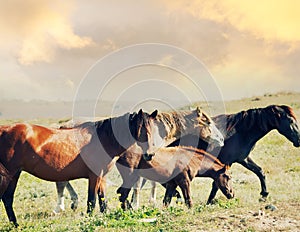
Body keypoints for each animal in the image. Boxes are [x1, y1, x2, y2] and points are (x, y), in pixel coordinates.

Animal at [0, 109, 159, 227]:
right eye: (141, 128)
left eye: (153, 129)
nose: (150, 154)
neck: (103, 139)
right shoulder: (94, 176)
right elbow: (92, 201)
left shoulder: (101, 176)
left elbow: (102, 200)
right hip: (8, 174)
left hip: (15, 174)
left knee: (7, 198)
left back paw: (16, 225)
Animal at [53, 107, 225, 212]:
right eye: (208, 122)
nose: (222, 139)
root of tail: (63, 126)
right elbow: (144, 183)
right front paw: (140, 204)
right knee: (62, 182)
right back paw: (63, 206)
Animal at [132, 104, 300, 205]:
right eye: (291, 121)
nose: (298, 140)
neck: (239, 132)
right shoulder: (225, 161)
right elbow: (217, 182)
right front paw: (210, 201)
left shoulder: (243, 159)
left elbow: (260, 171)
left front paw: (264, 194)